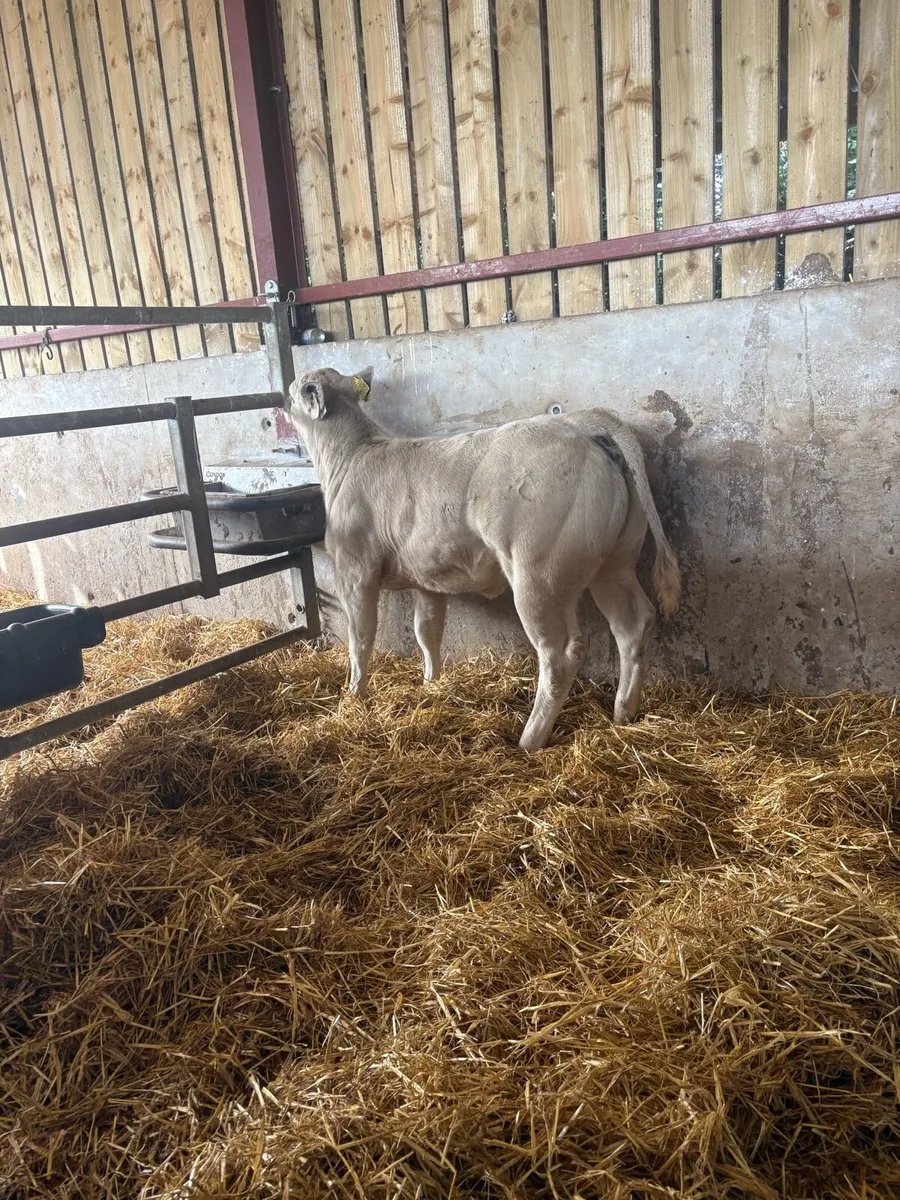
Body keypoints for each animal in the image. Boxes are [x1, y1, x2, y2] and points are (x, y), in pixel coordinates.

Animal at [286, 367, 681, 751]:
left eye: (294, 388)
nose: (284, 395)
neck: (351, 456)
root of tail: (581, 424)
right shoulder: (427, 577)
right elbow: (427, 632)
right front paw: (431, 684)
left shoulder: (355, 569)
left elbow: (361, 637)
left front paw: (355, 695)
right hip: (613, 563)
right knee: (633, 624)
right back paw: (623, 712)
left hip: (539, 575)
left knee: (560, 654)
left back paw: (529, 739)